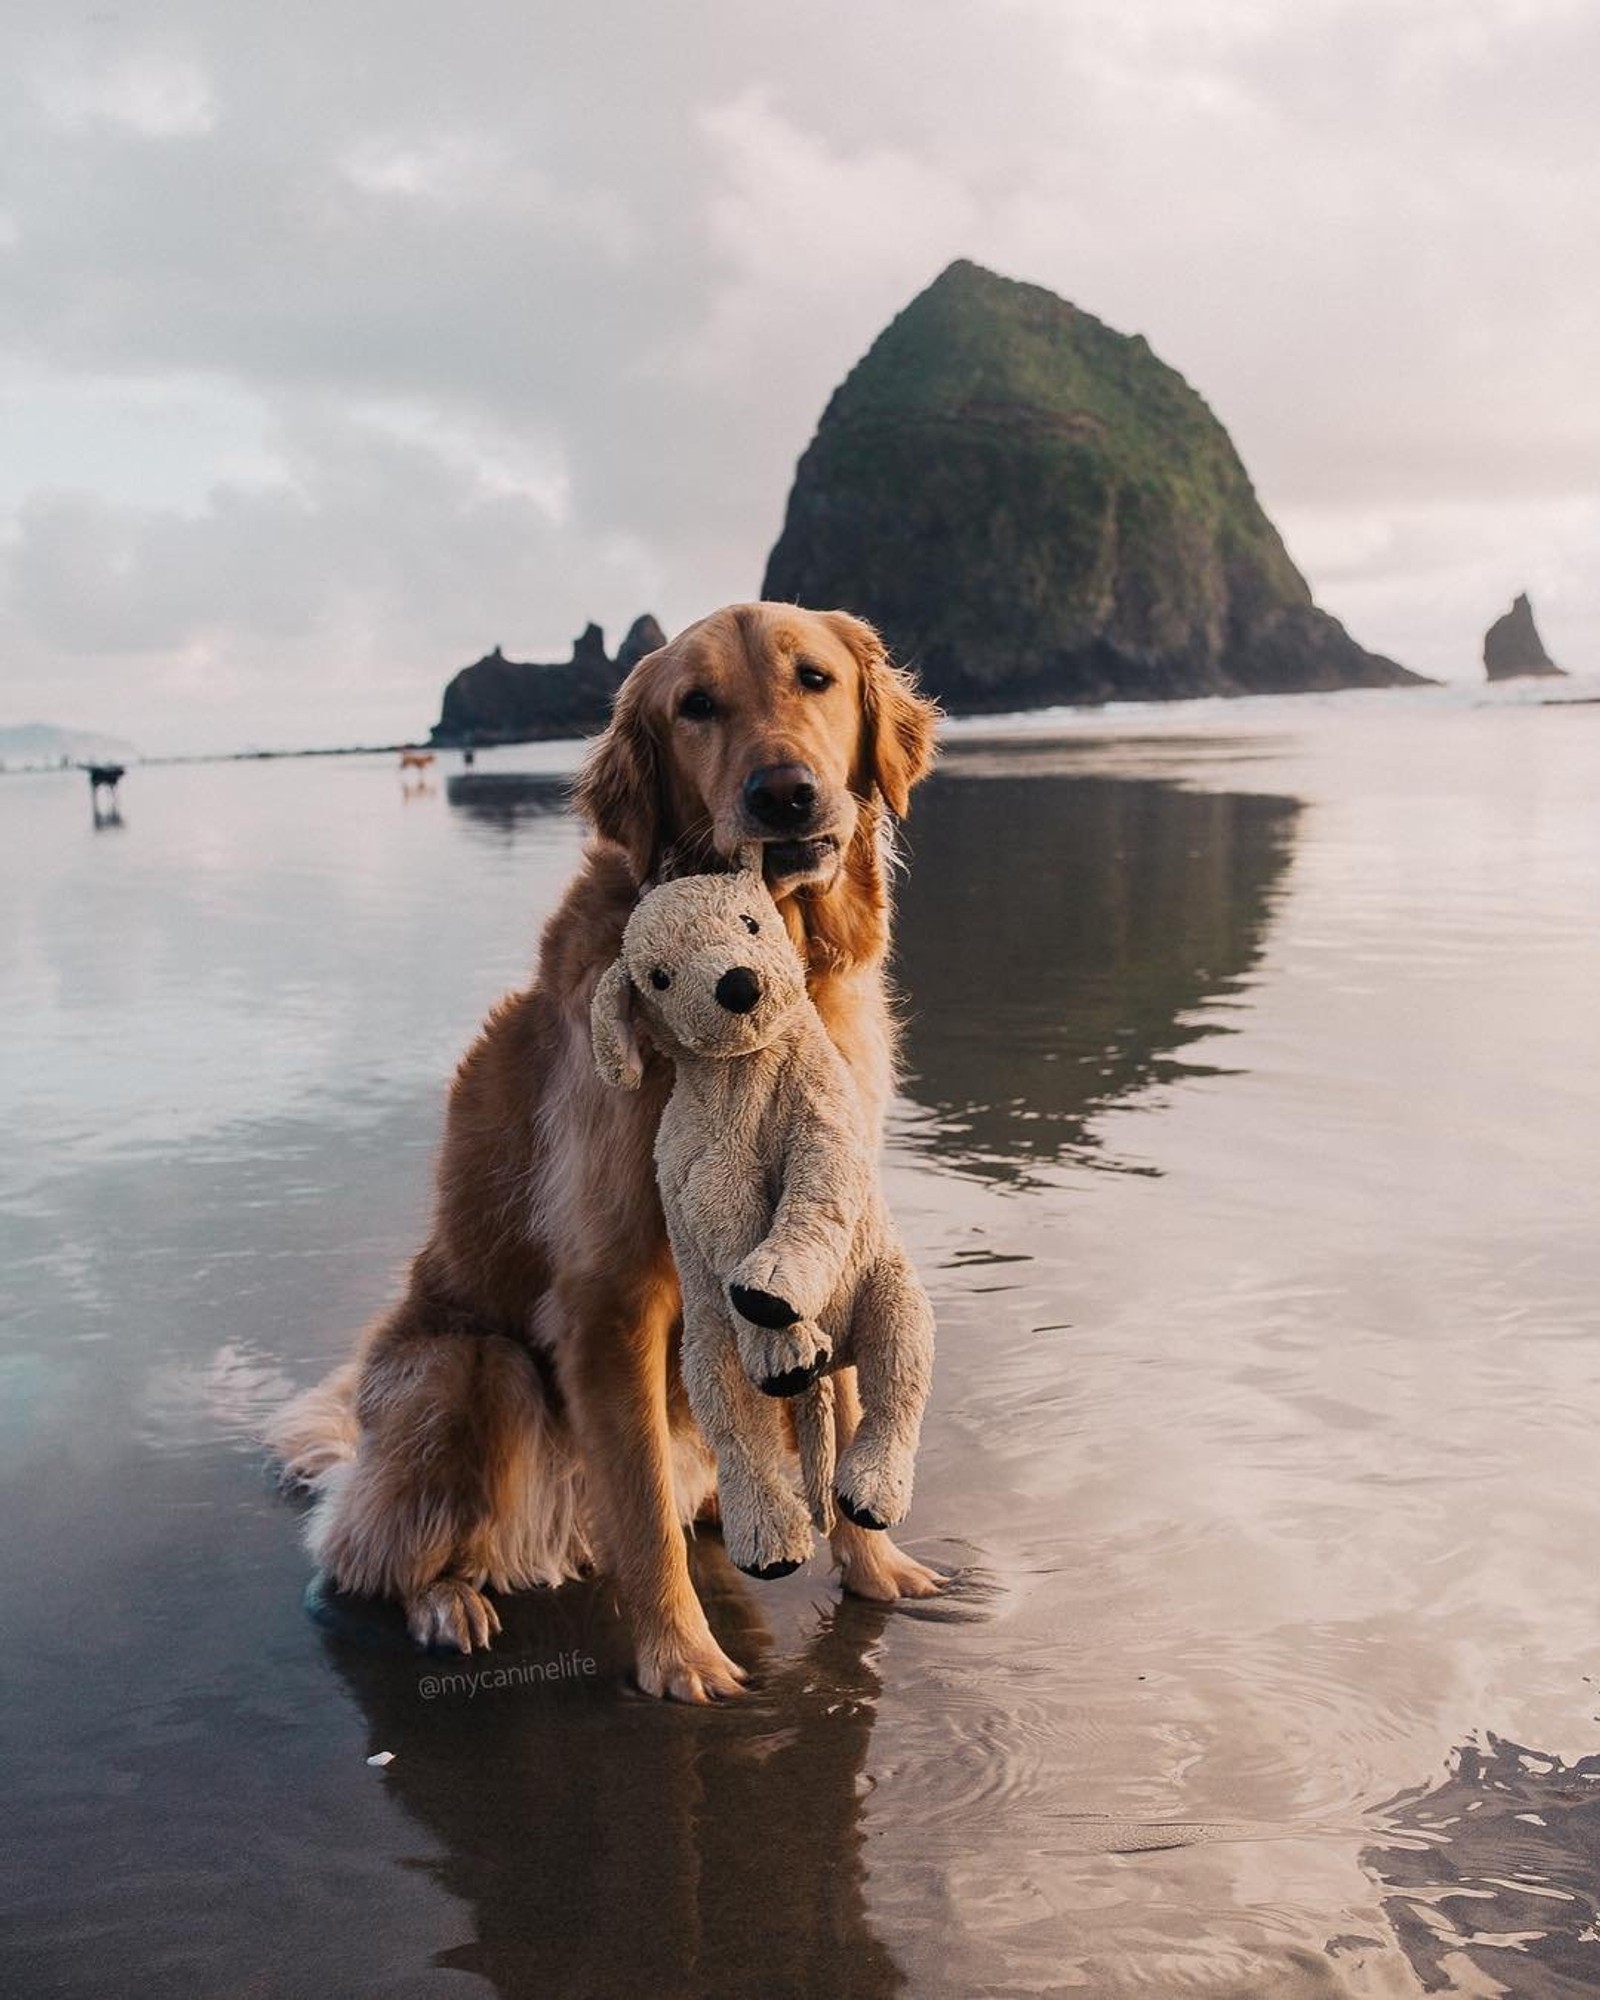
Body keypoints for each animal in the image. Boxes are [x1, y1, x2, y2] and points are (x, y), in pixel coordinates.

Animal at [268, 604, 944, 1704]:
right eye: (695, 705)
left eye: (815, 677)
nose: (784, 791)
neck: (780, 967)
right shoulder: (610, 1292)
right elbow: (638, 1503)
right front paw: (681, 1659)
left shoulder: (836, 1217)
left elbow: (843, 1404)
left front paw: (875, 1565)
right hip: (467, 1370)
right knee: (370, 1555)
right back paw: (446, 1600)